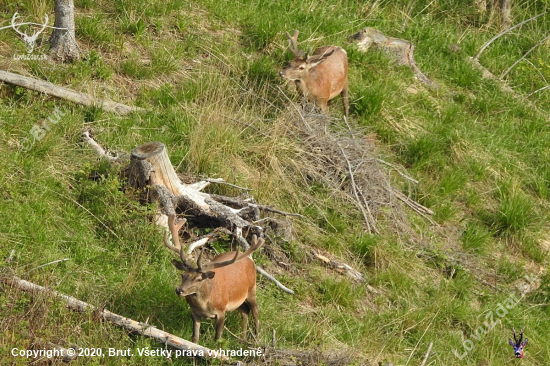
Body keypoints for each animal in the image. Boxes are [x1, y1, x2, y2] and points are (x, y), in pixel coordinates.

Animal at [164, 214, 266, 344]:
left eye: (199, 279)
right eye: (183, 275)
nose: (179, 290)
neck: (204, 305)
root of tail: (250, 260)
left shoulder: (221, 310)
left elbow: (217, 338)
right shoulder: (194, 312)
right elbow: (195, 338)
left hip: (252, 288)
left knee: (255, 311)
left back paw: (256, 339)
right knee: (245, 311)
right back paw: (242, 339)